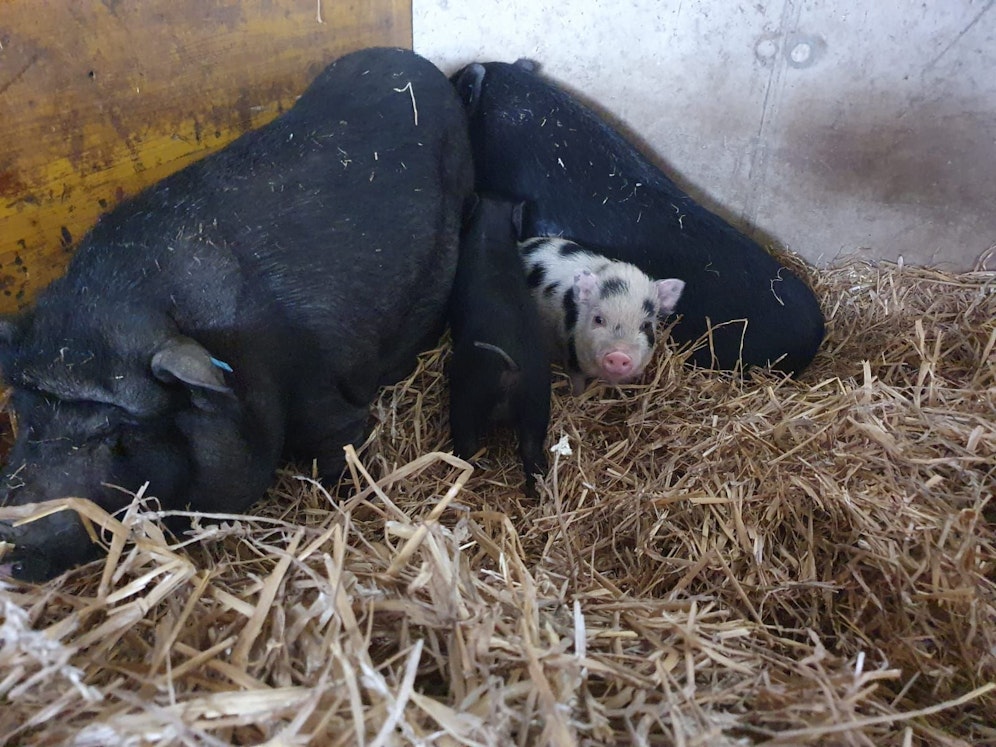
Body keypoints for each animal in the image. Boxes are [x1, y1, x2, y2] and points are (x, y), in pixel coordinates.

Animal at [0, 46, 474, 584]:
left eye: (119, 436)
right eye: (23, 413)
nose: (16, 529)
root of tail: (412, 61)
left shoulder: (317, 390)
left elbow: (340, 441)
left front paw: (344, 495)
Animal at [448, 196, 548, 494]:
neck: (489, 232)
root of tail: (510, 366)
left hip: (467, 398)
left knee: (467, 444)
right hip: (538, 401)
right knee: (532, 451)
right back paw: (534, 493)